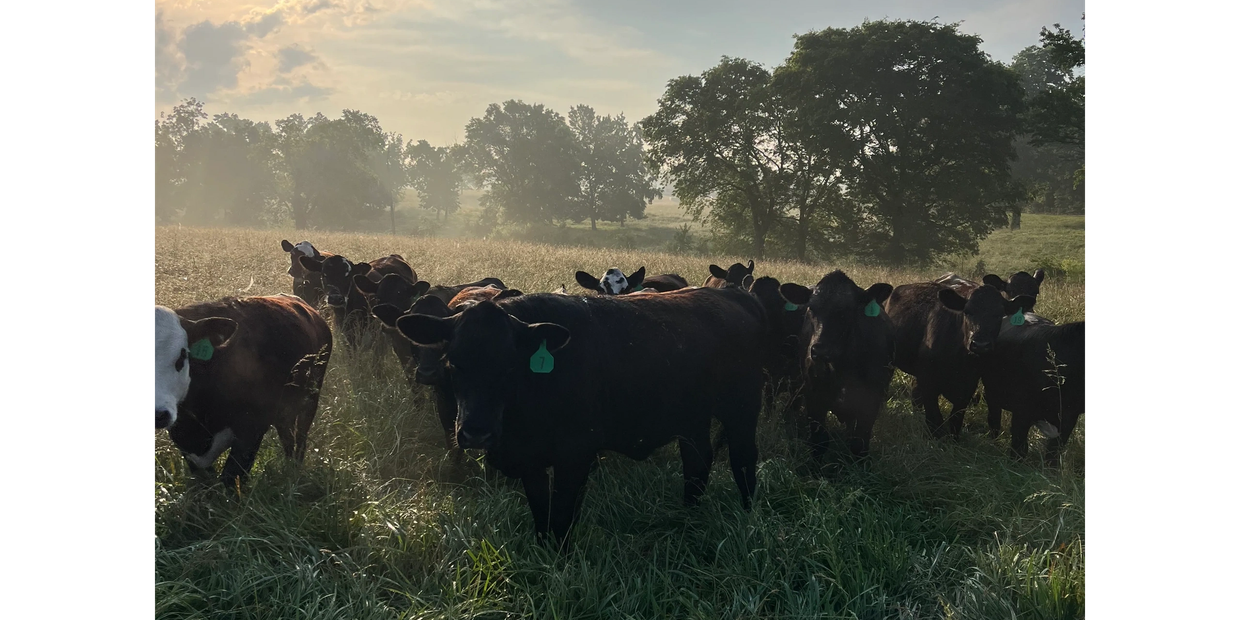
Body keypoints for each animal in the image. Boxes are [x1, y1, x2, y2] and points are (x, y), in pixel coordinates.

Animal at [153, 294, 333, 489]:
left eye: (182, 356)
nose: (157, 414)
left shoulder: (252, 429)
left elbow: (231, 478)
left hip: (308, 402)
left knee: (297, 442)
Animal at [391, 287, 767, 550]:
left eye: (510, 365)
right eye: (453, 361)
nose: (476, 433)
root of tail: (733, 295)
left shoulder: (575, 455)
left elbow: (560, 515)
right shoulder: (530, 460)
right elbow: (541, 512)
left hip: (742, 409)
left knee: (743, 460)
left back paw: (748, 516)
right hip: (692, 417)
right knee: (697, 461)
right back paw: (688, 515)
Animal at [778, 271, 896, 459]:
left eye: (848, 311)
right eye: (811, 309)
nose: (819, 350)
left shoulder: (871, 402)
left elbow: (859, 444)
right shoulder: (814, 398)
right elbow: (819, 440)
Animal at [884, 281, 1036, 440]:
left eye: (999, 314)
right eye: (967, 311)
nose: (980, 344)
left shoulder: (968, 386)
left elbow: (956, 419)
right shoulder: (928, 382)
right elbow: (935, 418)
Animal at [980, 320, 1086, 466]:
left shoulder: (1069, 418)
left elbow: (1052, 453)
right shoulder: (1022, 411)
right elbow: (1019, 448)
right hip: (992, 395)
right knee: (994, 422)